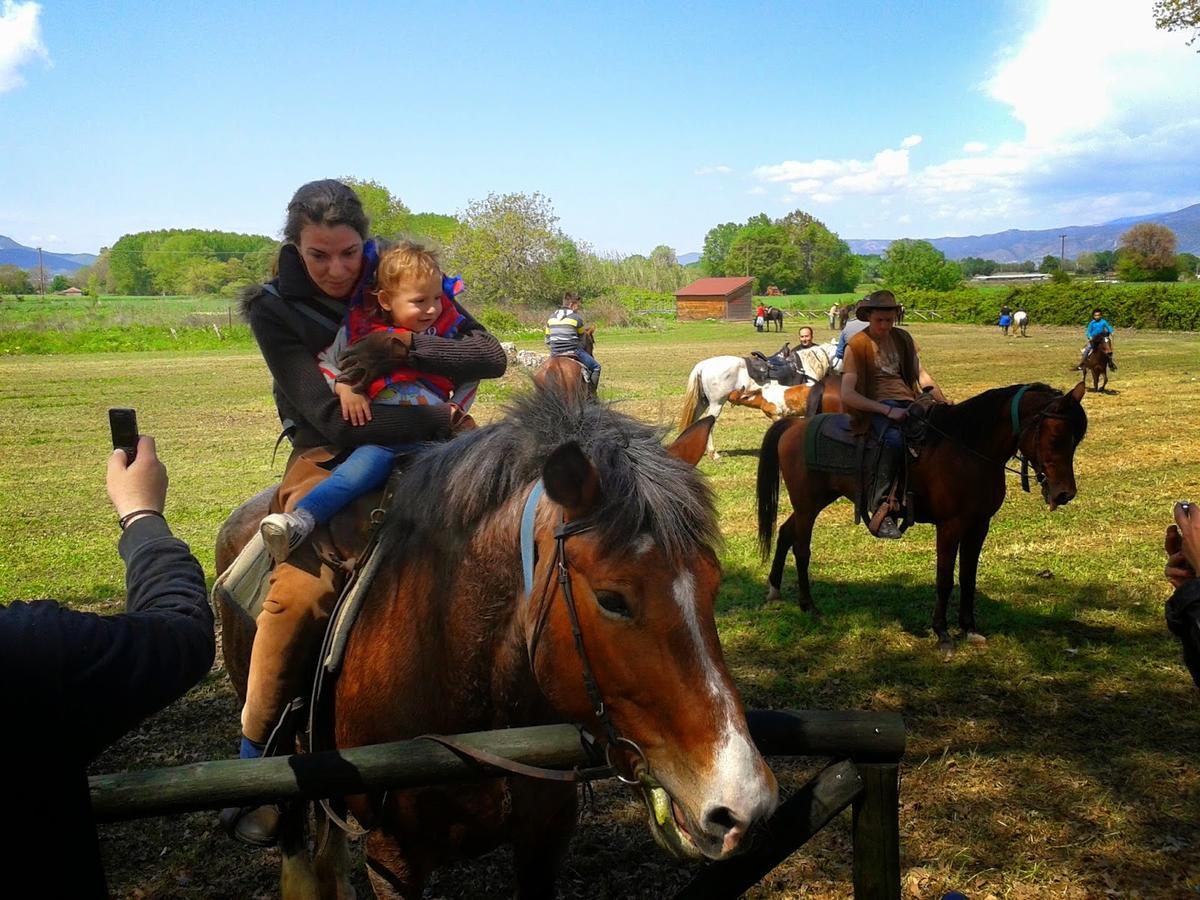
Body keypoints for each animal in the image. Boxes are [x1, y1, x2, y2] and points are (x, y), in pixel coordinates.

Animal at [758, 381, 1089, 648]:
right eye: (1056, 437)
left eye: (1077, 438)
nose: (1064, 493)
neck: (967, 449)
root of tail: (794, 426)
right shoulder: (950, 526)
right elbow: (945, 579)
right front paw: (942, 633)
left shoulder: (979, 525)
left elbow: (968, 577)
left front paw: (969, 628)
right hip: (808, 505)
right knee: (802, 548)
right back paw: (808, 606)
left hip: (814, 502)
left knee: (786, 532)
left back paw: (774, 590)